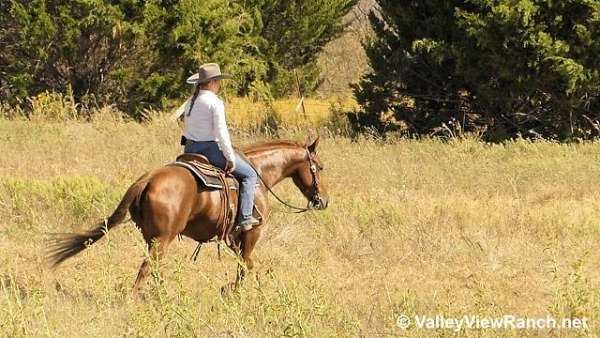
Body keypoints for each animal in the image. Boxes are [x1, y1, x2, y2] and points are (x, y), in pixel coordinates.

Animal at [47, 137, 328, 294]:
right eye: (320, 167)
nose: (323, 200)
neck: (259, 174)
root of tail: (147, 178)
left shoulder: (233, 238)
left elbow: (243, 264)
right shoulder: (251, 232)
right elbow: (247, 265)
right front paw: (232, 291)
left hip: (152, 238)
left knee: (154, 268)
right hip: (163, 238)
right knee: (147, 269)